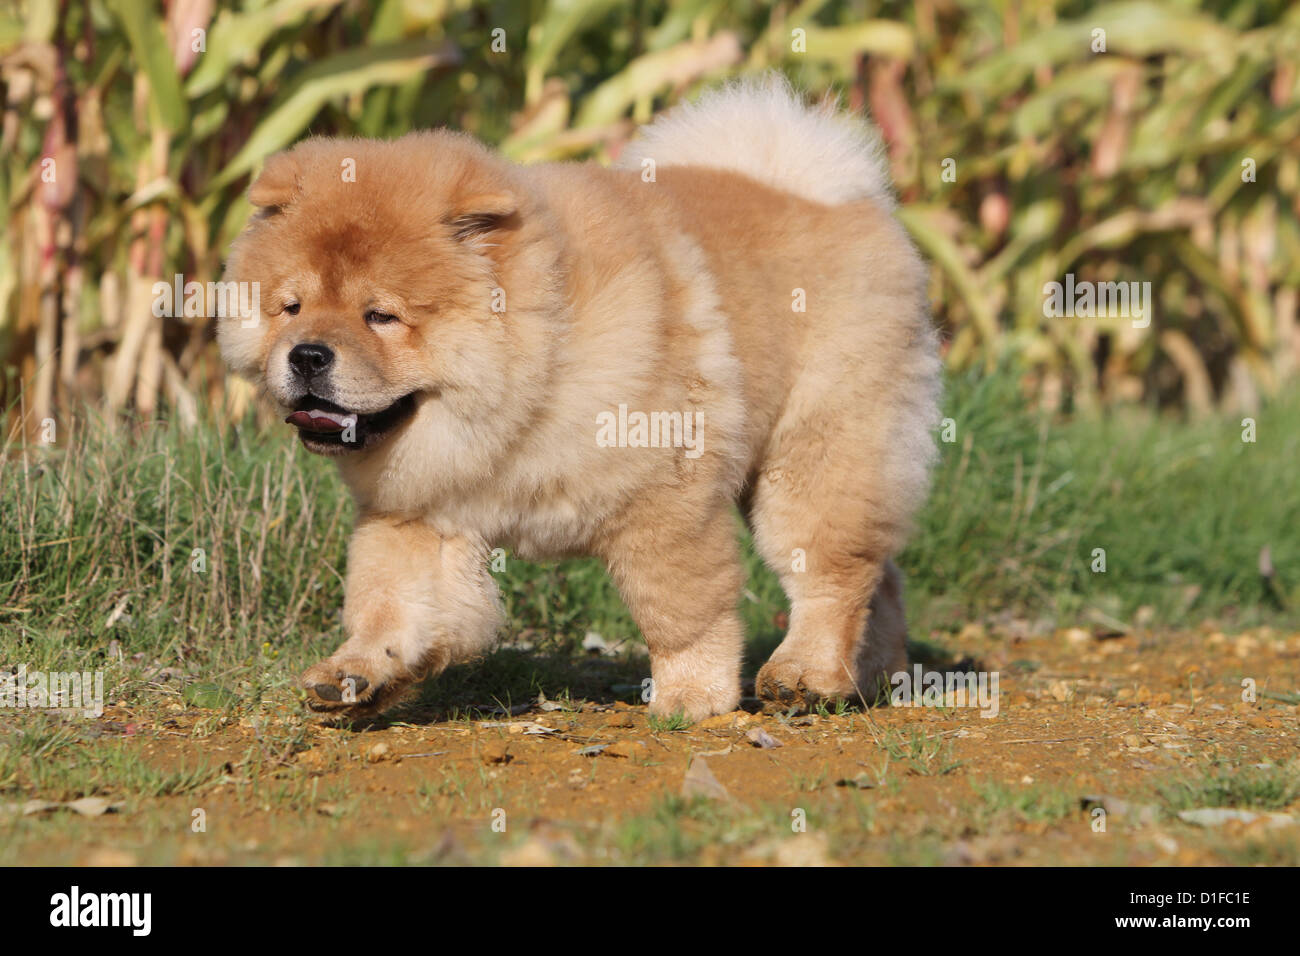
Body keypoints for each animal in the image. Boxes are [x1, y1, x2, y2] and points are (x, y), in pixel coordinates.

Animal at [218, 76, 941, 717]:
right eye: (291, 307)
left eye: (381, 317)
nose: (307, 354)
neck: (531, 384)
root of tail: (837, 194)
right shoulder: (420, 510)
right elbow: (389, 601)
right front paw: (357, 675)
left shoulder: (663, 501)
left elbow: (680, 610)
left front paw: (691, 697)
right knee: (883, 577)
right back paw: (870, 677)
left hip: (814, 450)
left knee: (830, 568)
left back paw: (805, 674)